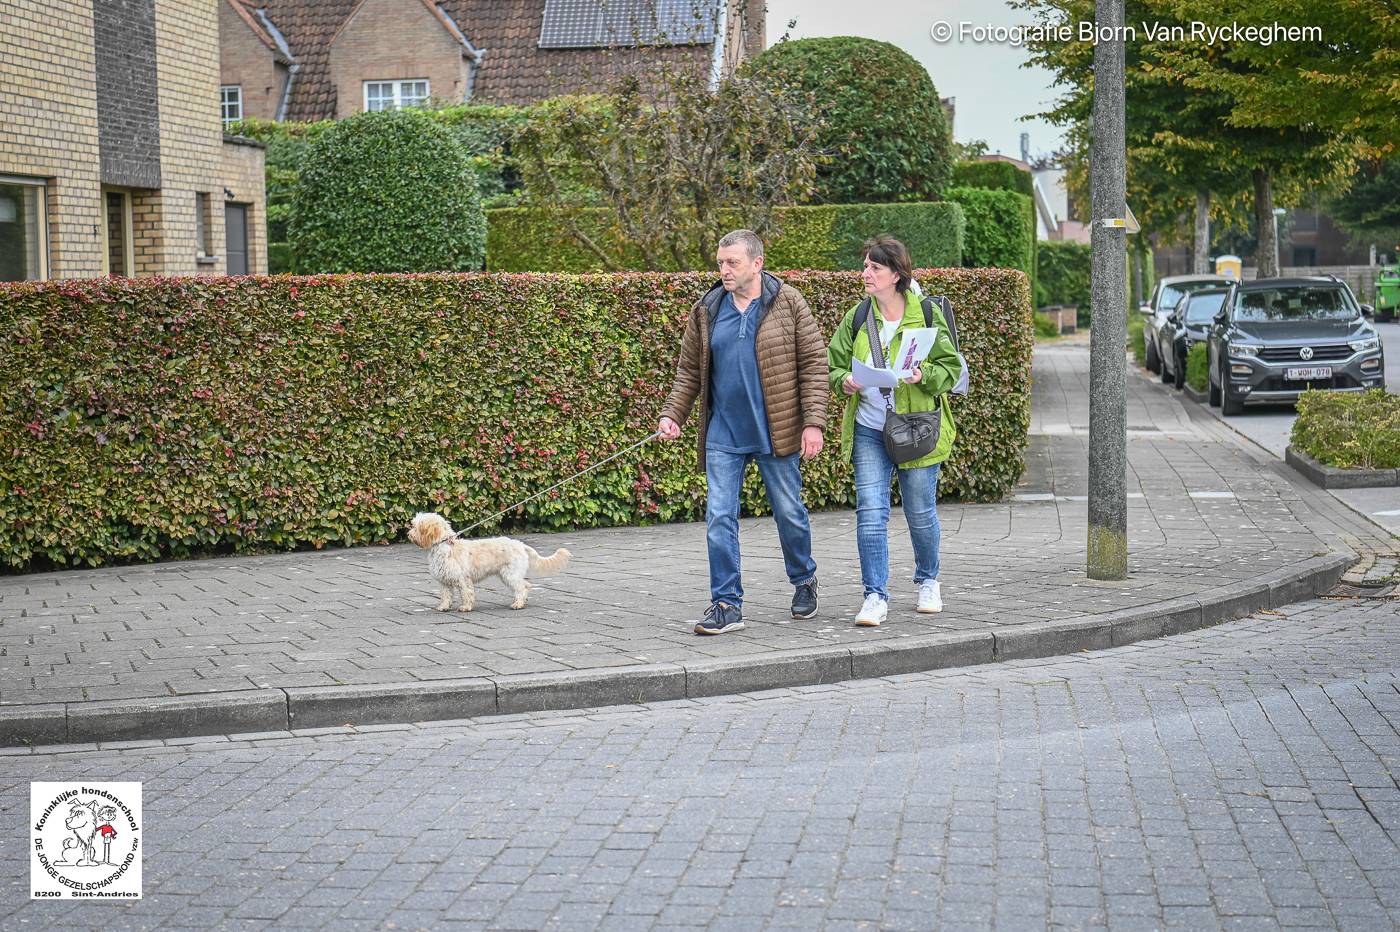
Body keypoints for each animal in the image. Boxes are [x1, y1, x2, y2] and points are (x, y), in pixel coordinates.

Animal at [408, 509, 571, 610]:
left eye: (416, 527)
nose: (409, 534)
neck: (445, 545)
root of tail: (521, 545)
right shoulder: (444, 581)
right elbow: (446, 596)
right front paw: (443, 607)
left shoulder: (463, 579)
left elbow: (466, 594)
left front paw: (465, 607)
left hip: (510, 574)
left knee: (523, 586)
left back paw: (518, 604)